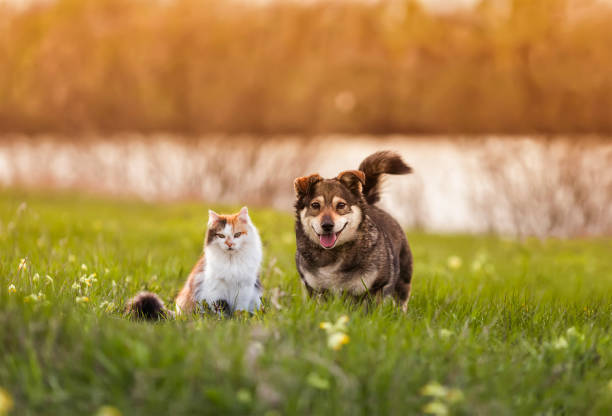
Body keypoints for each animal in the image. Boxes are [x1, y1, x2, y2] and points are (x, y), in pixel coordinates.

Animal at [126, 206, 262, 320]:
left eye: (237, 235)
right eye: (221, 236)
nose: (229, 244)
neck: (231, 261)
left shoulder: (244, 289)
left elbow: (240, 310)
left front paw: (239, 320)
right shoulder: (216, 290)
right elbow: (220, 309)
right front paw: (222, 322)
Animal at [292, 151, 414, 310]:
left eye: (341, 205)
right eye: (315, 205)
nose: (327, 225)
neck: (333, 253)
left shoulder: (375, 288)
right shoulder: (316, 290)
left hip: (403, 278)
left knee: (402, 300)